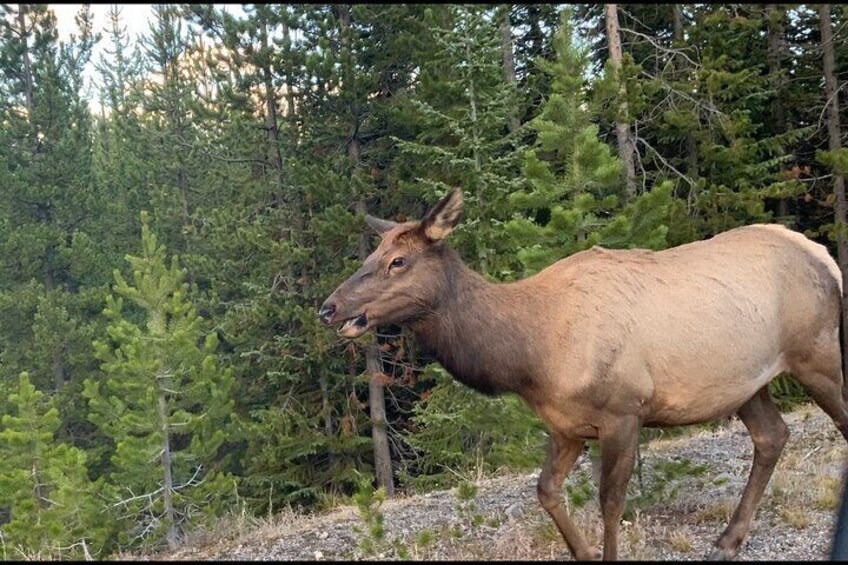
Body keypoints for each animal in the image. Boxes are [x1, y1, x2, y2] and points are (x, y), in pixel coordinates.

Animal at [318, 189, 848, 560]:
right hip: (745, 383)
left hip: (817, 352)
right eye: (370, 256)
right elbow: (546, 490)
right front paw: (585, 551)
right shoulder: (567, 425)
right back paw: (728, 540)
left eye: (398, 260)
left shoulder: (624, 413)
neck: (530, 359)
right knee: (772, 436)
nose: (329, 307)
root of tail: (823, 255)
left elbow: (611, 502)